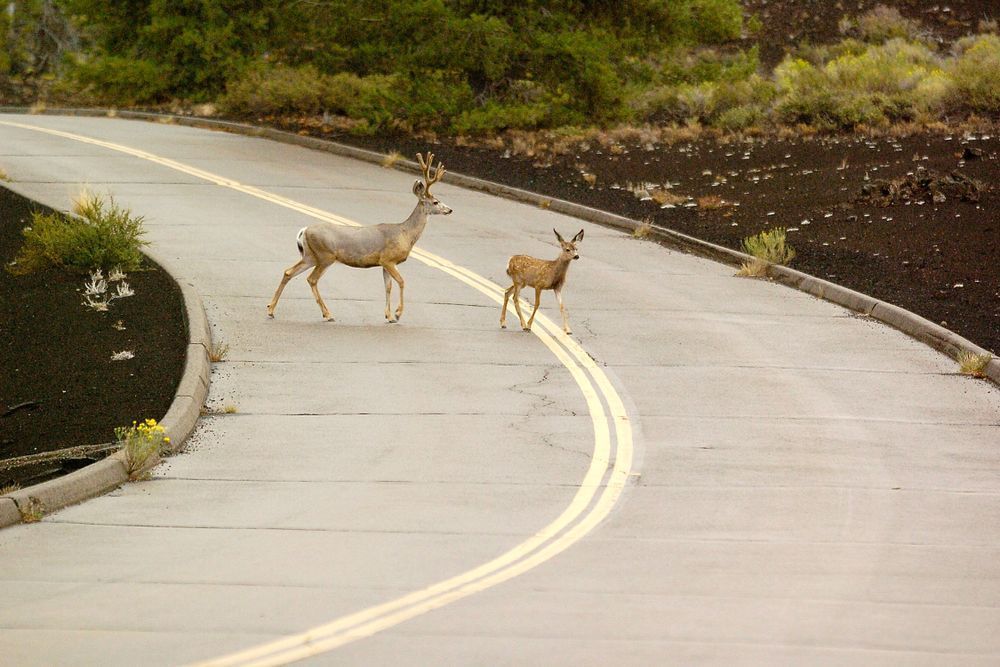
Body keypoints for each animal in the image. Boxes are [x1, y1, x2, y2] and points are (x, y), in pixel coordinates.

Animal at [266, 153, 451, 323]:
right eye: (436, 202)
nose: (450, 210)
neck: (405, 233)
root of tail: (304, 230)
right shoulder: (388, 259)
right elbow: (401, 282)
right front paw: (398, 314)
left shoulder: (384, 263)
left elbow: (388, 287)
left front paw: (389, 316)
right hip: (325, 255)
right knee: (311, 279)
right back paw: (327, 314)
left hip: (311, 255)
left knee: (289, 272)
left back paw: (271, 310)